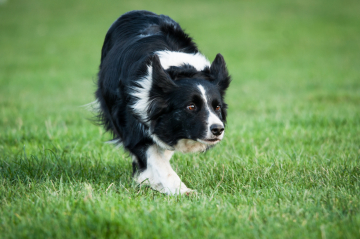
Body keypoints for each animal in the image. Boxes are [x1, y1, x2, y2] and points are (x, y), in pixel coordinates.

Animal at [95, 10, 231, 195]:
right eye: (191, 106)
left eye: (217, 107)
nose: (218, 129)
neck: (180, 71)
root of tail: (135, 12)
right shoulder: (135, 119)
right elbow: (156, 159)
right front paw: (182, 191)